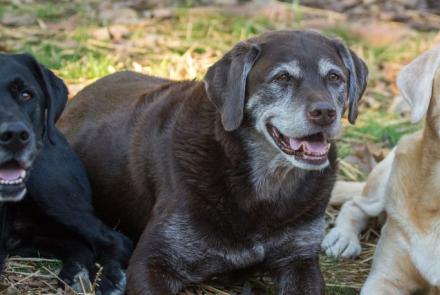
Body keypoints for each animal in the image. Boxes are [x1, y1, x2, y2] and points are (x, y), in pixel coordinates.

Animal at [0, 53, 131, 295]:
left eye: (26, 95)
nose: (14, 135)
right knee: (77, 244)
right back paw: (75, 274)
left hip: (49, 190)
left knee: (116, 240)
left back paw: (109, 279)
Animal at [59, 30, 368, 295]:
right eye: (282, 78)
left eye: (334, 77)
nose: (325, 113)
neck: (262, 187)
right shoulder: (151, 262)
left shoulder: (299, 259)